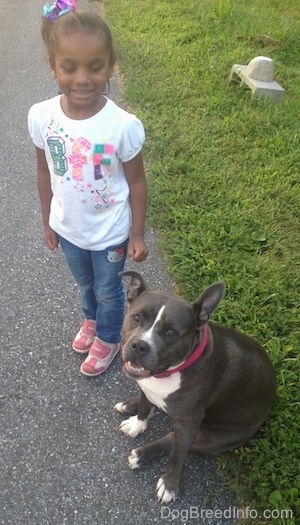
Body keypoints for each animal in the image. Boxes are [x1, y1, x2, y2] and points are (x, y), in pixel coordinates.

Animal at [115, 270, 276, 504]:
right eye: (137, 317)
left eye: (171, 332)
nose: (139, 346)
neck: (170, 372)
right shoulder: (146, 386)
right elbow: (145, 407)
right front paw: (137, 424)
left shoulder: (188, 425)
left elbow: (178, 455)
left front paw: (170, 485)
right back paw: (130, 405)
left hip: (209, 438)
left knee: (171, 440)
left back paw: (142, 454)